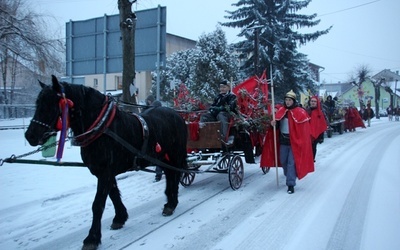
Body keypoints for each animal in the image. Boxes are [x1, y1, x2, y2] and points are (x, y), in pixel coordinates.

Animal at [25, 75, 188, 250]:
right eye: (38, 103)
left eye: (50, 104)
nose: (30, 135)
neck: (101, 127)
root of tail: (177, 115)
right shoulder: (103, 172)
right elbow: (113, 194)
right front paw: (120, 217)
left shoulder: (105, 172)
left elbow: (97, 204)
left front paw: (92, 238)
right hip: (163, 157)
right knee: (170, 175)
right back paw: (169, 202)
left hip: (175, 155)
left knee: (175, 175)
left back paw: (172, 203)